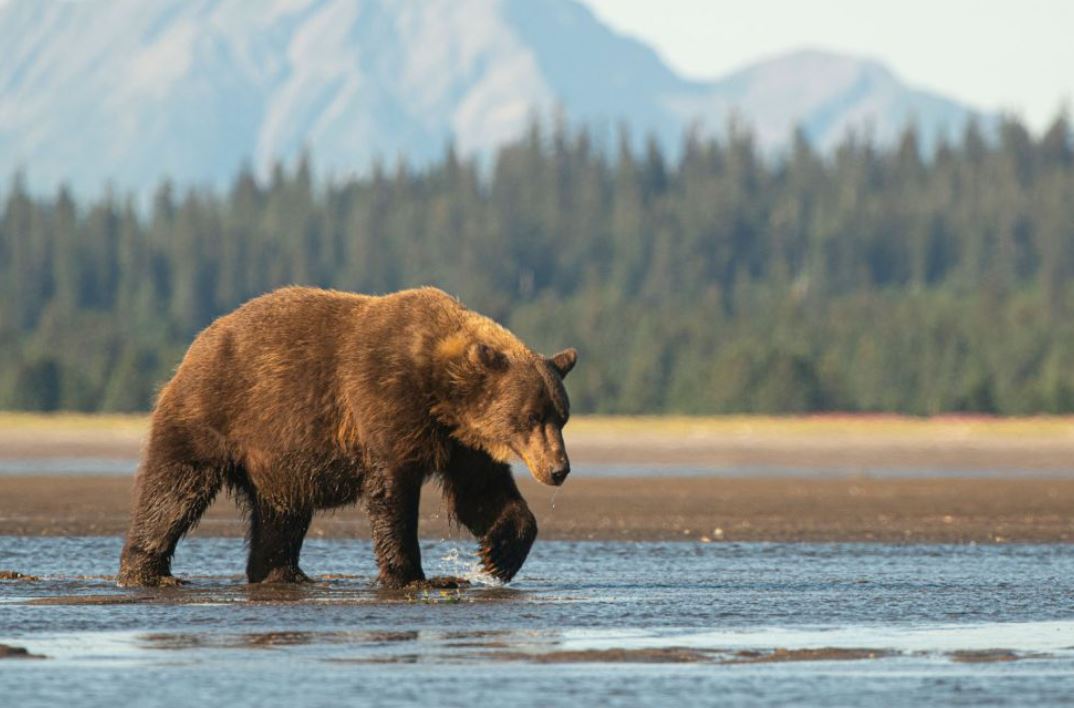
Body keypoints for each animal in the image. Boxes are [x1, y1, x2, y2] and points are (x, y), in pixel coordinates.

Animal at [115, 285, 579, 588]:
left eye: (562, 416)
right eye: (531, 415)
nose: (559, 469)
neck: (439, 390)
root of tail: (200, 341)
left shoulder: (461, 441)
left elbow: (480, 494)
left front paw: (498, 555)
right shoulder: (385, 402)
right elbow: (392, 494)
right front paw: (416, 577)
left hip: (278, 458)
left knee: (281, 514)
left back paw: (284, 573)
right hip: (216, 412)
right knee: (173, 490)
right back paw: (149, 573)